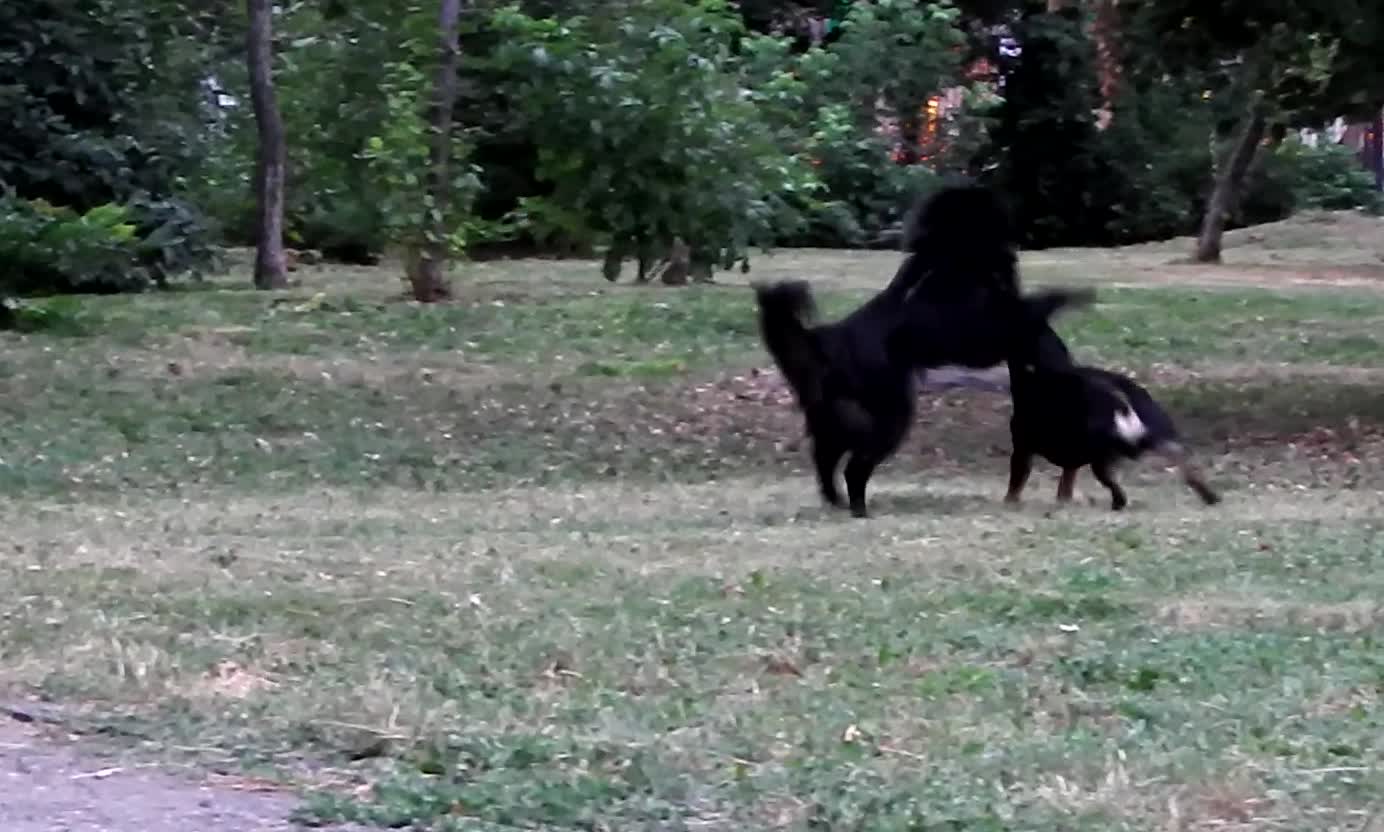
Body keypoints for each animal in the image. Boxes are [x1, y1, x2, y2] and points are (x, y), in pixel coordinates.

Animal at [1007, 326, 1223, 509]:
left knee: (1116, 487)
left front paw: (1010, 502)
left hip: (1103, 458)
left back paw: (1118, 504)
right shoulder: (1070, 455)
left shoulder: (1023, 448)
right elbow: (1065, 482)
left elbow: (1017, 481)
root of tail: (1121, 403)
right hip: (1159, 439)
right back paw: (1209, 496)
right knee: (1186, 463)